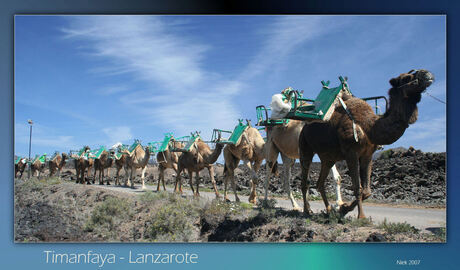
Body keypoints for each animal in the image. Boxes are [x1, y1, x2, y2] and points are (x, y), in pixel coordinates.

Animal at [298, 69, 434, 217]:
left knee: (320, 183)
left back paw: (329, 210)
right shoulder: (351, 152)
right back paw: (307, 211)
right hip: (305, 147)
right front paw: (361, 217)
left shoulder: (367, 154)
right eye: (406, 78)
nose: (427, 74)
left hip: (328, 157)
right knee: (305, 181)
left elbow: (367, 191)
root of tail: (305, 127)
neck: (369, 127)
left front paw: (343, 209)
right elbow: (357, 188)